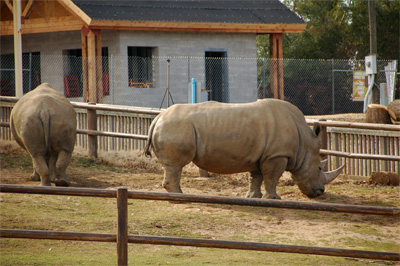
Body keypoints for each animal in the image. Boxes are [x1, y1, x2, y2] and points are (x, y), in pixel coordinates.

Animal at [145, 100, 346, 200]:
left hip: (172, 126)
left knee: (172, 166)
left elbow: (256, 177)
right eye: (319, 168)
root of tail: (158, 117)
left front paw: (253, 197)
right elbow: (272, 177)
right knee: (175, 165)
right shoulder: (276, 155)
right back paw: (180, 197)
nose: (320, 192)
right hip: (175, 127)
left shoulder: (261, 155)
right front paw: (274, 199)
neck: (304, 143)